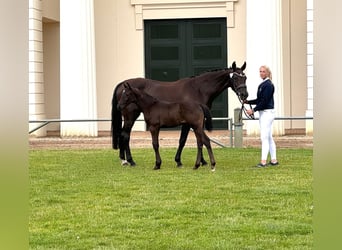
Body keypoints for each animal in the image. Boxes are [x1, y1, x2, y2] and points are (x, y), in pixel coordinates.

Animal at [111, 61, 247, 166]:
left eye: (245, 77)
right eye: (235, 78)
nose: (244, 94)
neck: (198, 89)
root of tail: (122, 84)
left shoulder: (198, 122)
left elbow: (199, 139)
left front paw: (201, 161)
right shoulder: (188, 122)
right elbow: (183, 140)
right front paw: (179, 161)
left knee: (123, 134)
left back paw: (125, 160)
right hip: (130, 117)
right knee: (125, 135)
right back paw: (129, 161)